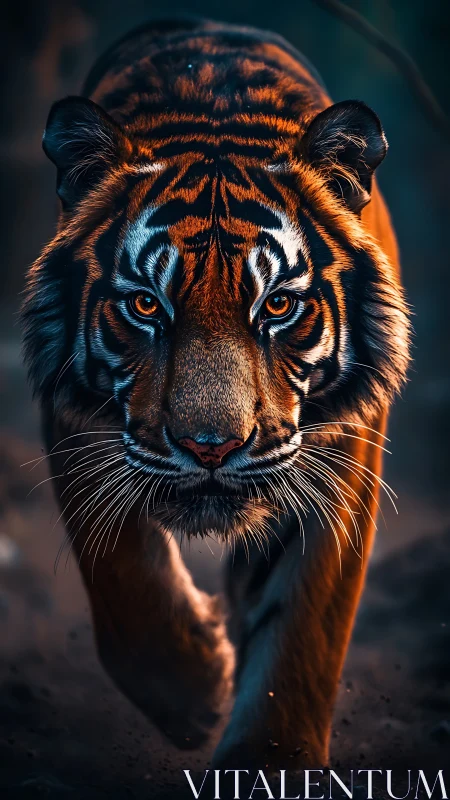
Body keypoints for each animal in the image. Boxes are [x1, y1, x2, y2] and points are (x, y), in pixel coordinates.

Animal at [21, 16, 411, 771]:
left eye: (279, 305)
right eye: (146, 305)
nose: (211, 447)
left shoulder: (342, 453)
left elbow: (303, 630)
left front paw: (269, 762)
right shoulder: (76, 421)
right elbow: (122, 582)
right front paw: (194, 692)